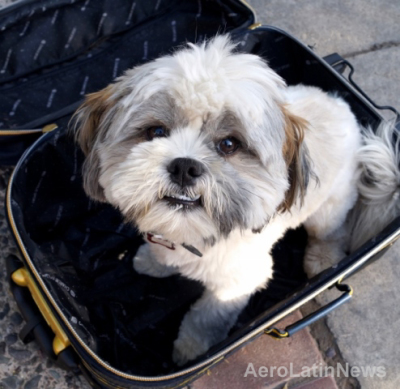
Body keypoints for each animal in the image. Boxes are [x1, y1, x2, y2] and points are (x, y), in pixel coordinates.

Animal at [72, 34, 400, 366]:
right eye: (156, 131)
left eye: (229, 144)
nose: (184, 166)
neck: (192, 234)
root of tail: (341, 102)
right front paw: (154, 261)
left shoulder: (237, 282)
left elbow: (207, 316)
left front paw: (191, 347)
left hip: (327, 208)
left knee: (333, 231)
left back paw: (322, 258)